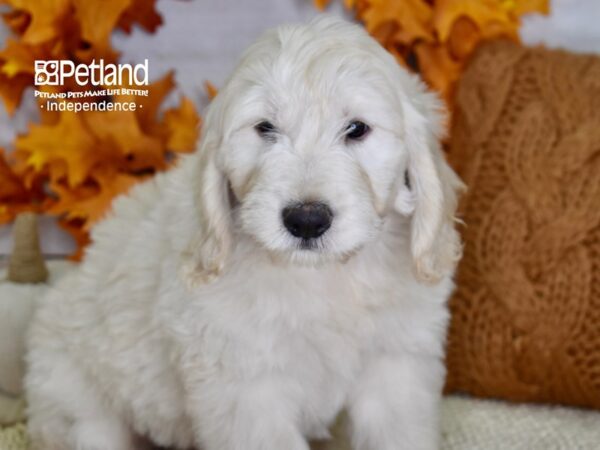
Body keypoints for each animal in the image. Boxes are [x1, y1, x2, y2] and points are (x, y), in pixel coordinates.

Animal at [24, 14, 464, 450]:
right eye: (265, 128)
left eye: (357, 129)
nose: (306, 220)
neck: (321, 275)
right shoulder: (246, 388)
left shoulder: (396, 365)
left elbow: (398, 431)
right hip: (75, 399)